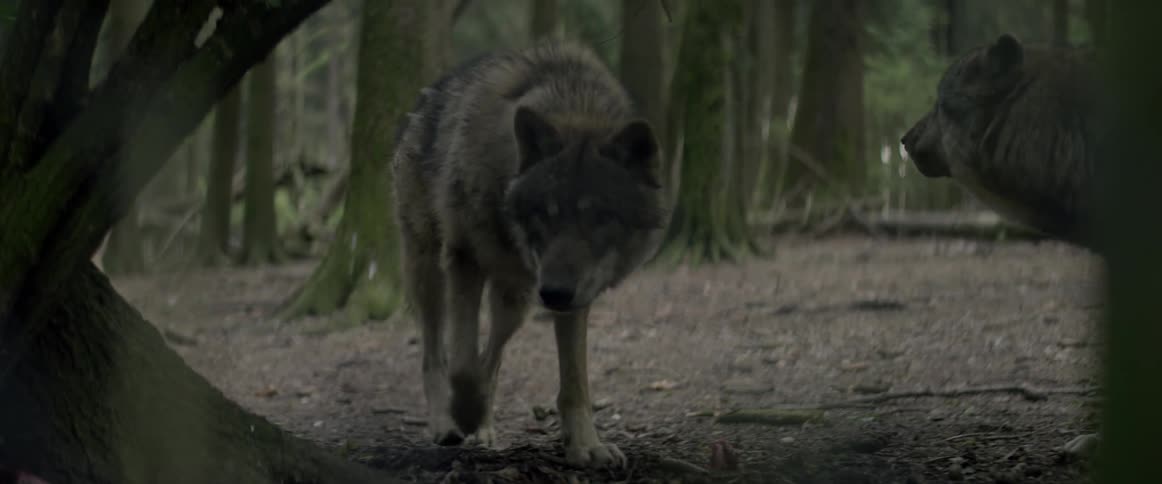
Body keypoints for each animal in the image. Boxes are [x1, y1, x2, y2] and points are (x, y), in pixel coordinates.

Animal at [391, 42, 668, 468]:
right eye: (545, 214)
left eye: (601, 217)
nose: (553, 293)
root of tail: (424, 101)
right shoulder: (464, 261)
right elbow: (462, 364)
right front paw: (465, 411)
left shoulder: (576, 294)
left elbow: (574, 383)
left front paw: (586, 445)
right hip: (430, 274)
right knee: (435, 355)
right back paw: (448, 423)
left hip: (515, 301)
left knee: (493, 356)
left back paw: (484, 425)